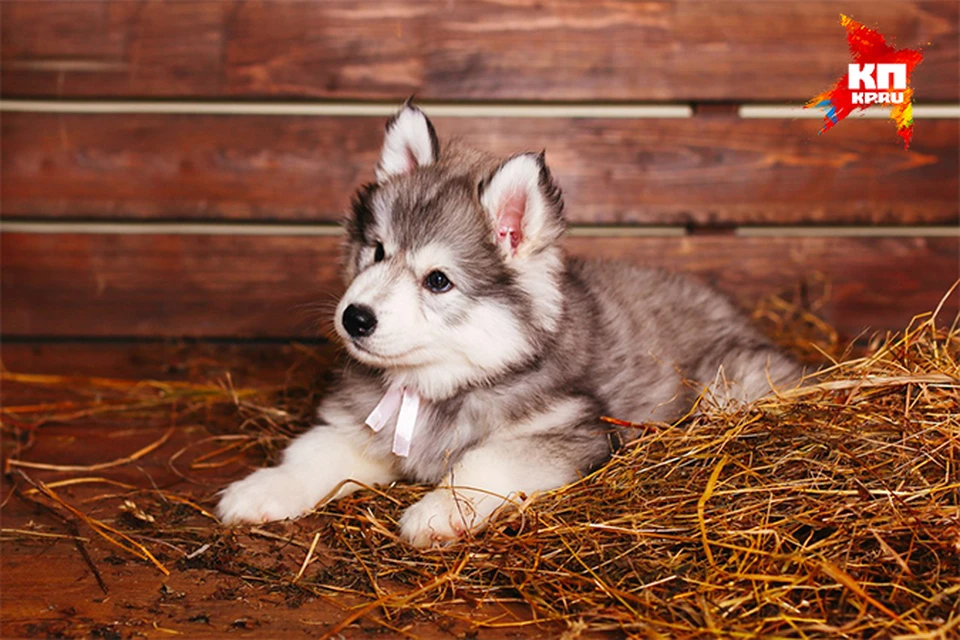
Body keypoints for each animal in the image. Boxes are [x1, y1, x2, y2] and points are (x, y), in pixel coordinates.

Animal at [219, 105, 804, 544]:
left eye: (438, 281)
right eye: (378, 251)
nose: (355, 317)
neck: (440, 384)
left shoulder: (569, 433)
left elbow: (485, 463)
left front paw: (437, 510)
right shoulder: (360, 426)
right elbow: (310, 453)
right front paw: (263, 488)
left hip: (729, 384)